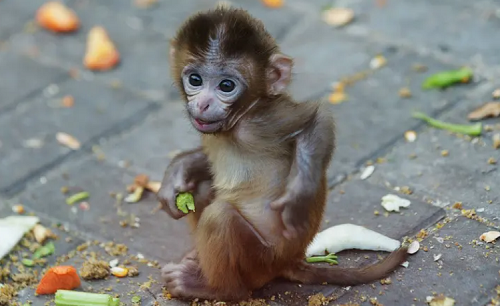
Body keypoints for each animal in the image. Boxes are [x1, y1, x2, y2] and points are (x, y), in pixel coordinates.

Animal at [158, 6, 408, 302]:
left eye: (226, 86)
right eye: (195, 80)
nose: (204, 103)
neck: (239, 121)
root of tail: (290, 260)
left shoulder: (265, 121)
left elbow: (317, 119)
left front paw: (298, 197)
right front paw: (178, 171)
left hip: (260, 260)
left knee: (220, 218)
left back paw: (216, 288)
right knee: (203, 188)